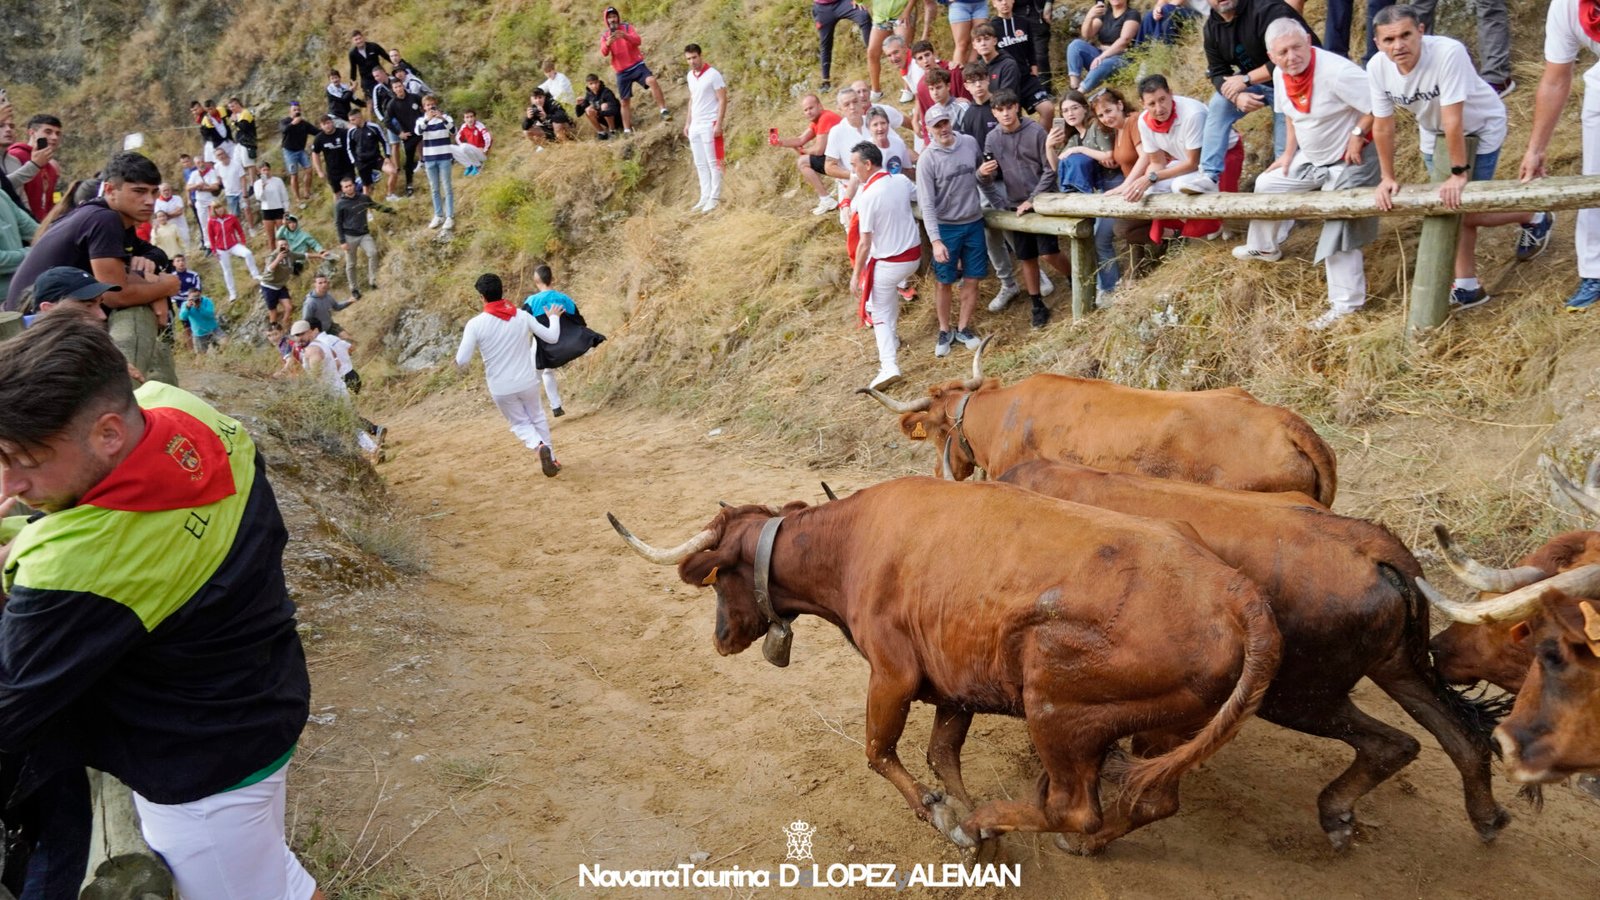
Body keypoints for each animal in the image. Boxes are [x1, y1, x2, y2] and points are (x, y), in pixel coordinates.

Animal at [604, 477, 1280, 845]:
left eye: (718, 578)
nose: (720, 638)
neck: (851, 544)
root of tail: (1234, 593)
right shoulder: (953, 686)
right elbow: (941, 752)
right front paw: (959, 813)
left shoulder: (892, 674)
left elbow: (880, 753)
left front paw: (951, 818)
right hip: (1166, 729)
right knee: (1150, 802)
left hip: (1053, 704)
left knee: (1074, 808)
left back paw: (995, 818)